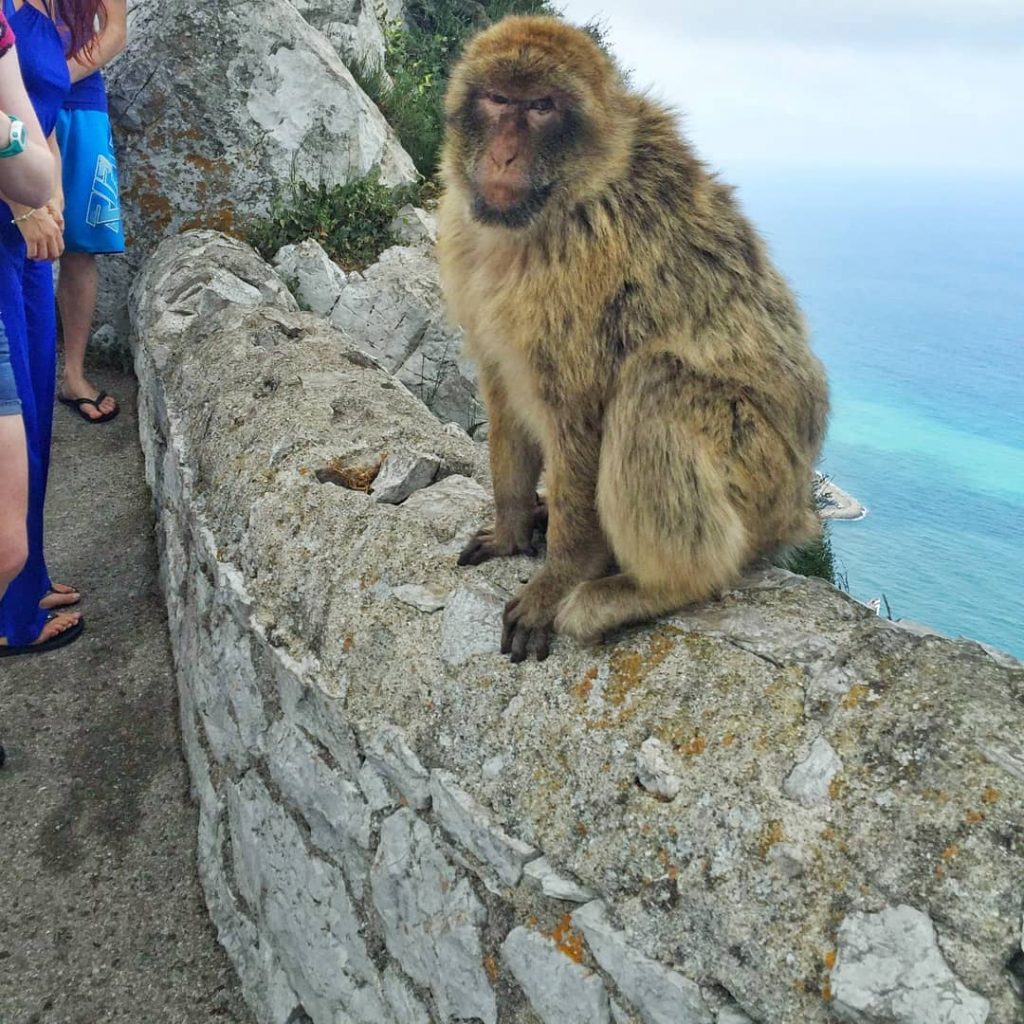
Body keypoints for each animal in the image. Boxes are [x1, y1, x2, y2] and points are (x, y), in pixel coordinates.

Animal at [437, 16, 830, 662]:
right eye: (497, 100)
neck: (556, 210)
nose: (504, 153)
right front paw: (511, 527)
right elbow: (501, 386)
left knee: (656, 384)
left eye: (541, 107)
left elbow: (581, 415)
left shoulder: (585, 268)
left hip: (758, 473)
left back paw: (656, 587)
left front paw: (558, 578)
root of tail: (796, 504)